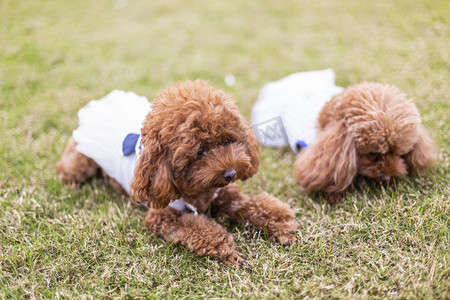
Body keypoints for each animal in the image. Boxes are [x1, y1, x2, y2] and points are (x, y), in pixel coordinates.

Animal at [56, 79, 298, 264]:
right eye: (199, 151)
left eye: (228, 141)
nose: (230, 174)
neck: (197, 190)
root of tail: (100, 103)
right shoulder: (162, 216)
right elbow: (198, 227)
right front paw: (227, 251)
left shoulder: (223, 194)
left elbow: (250, 205)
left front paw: (281, 226)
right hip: (81, 160)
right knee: (66, 170)